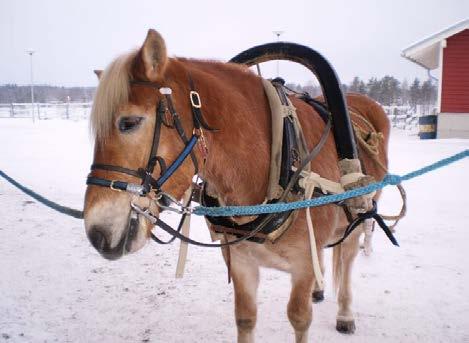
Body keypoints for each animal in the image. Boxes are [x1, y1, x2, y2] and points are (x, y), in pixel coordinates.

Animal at [83, 29, 388, 343]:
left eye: (129, 122)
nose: (97, 234)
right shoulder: (241, 260)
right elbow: (245, 317)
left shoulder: (303, 264)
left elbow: (299, 318)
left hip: (358, 214)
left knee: (348, 258)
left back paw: (345, 313)